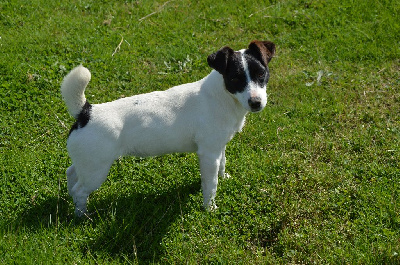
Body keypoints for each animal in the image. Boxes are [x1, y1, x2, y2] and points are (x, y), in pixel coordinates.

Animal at [61, 39, 276, 217]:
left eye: (261, 74)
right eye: (235, 79)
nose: (256, 103)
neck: (223, 96)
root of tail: (86, 112)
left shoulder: (218, 147)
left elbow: (222, 163)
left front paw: (225, 177)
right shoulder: (208, 153)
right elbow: (210, 184)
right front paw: (210, 208)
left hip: (86, 163)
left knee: (71, 174)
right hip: (96, 171)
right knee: (80, 190)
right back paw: (82, 215)